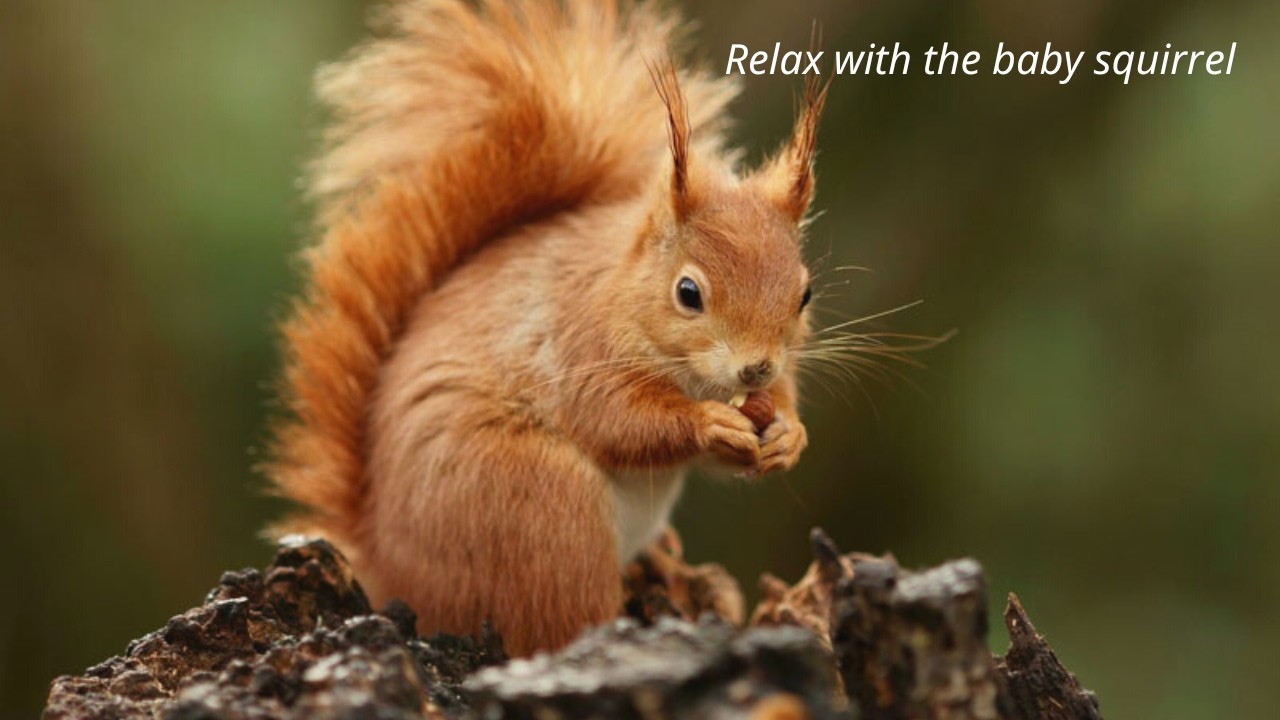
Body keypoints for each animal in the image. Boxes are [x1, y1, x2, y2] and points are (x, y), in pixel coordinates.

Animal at [267, 0, 828, 657]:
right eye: (688, 293)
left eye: (804, 293)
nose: (755, 367)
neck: (621, 290)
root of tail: (391, 572)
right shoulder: (579, 341)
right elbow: (617, 419)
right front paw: (708, 423)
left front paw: (788, 434)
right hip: (540, 508)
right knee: (558, 619)